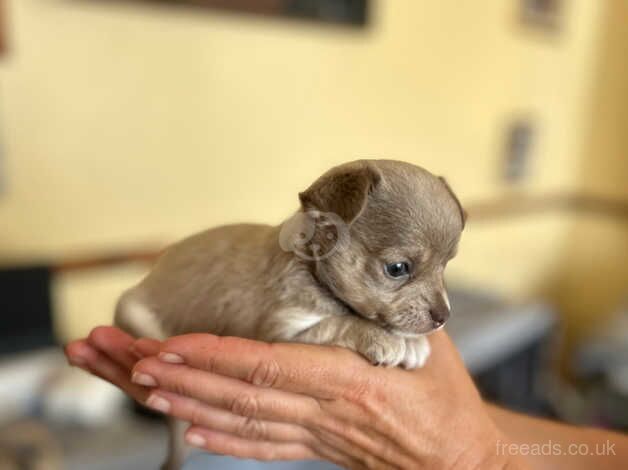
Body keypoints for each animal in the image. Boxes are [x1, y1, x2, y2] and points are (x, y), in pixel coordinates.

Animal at [115, 160, 464, 468]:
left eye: (445, 266)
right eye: (397, 269)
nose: (443, 316)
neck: (310, 268)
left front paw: (411, 342)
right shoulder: (283, 331)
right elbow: (340, 322)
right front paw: (386, 339)